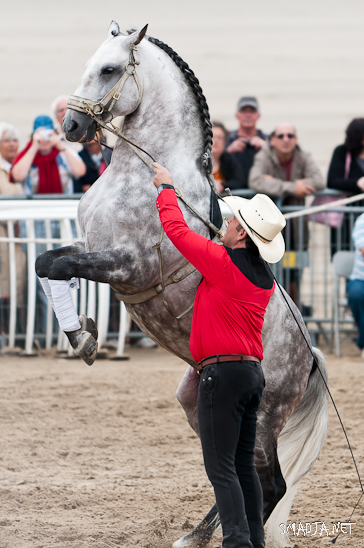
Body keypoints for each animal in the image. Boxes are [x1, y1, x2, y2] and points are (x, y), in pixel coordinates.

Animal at [35, 23, 328, 548]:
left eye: (109, 69)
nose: (70, 127)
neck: (141, 174)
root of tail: (311, 357)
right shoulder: (89, 246)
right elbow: (45, 264)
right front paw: (83, 332)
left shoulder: (128, 267)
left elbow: (53, 264)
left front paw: (83, 337)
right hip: (198, 406)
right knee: (234, 471)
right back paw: (196, 535)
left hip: (264, 417)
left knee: (269, 482)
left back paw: (210, 535)